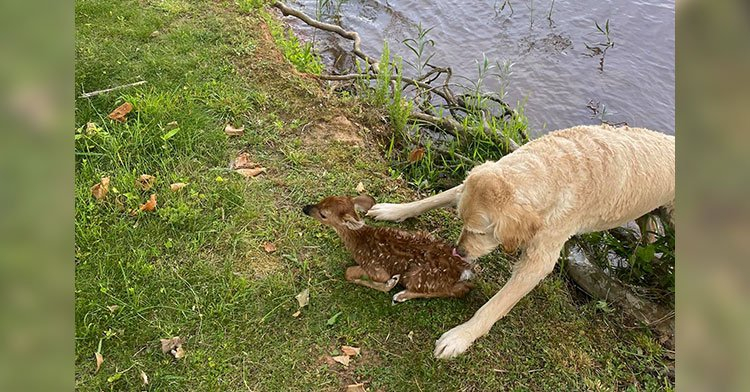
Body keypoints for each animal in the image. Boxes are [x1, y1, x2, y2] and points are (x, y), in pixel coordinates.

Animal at [368, 125, 680, 358]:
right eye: (462, 222)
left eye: (481, 232)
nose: (459, 252)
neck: (554, 168)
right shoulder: (468, 185)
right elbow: (434, 198)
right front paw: (393, 210)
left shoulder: (539, 259)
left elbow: (495, 304)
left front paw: (460, 337)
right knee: (650, 229)